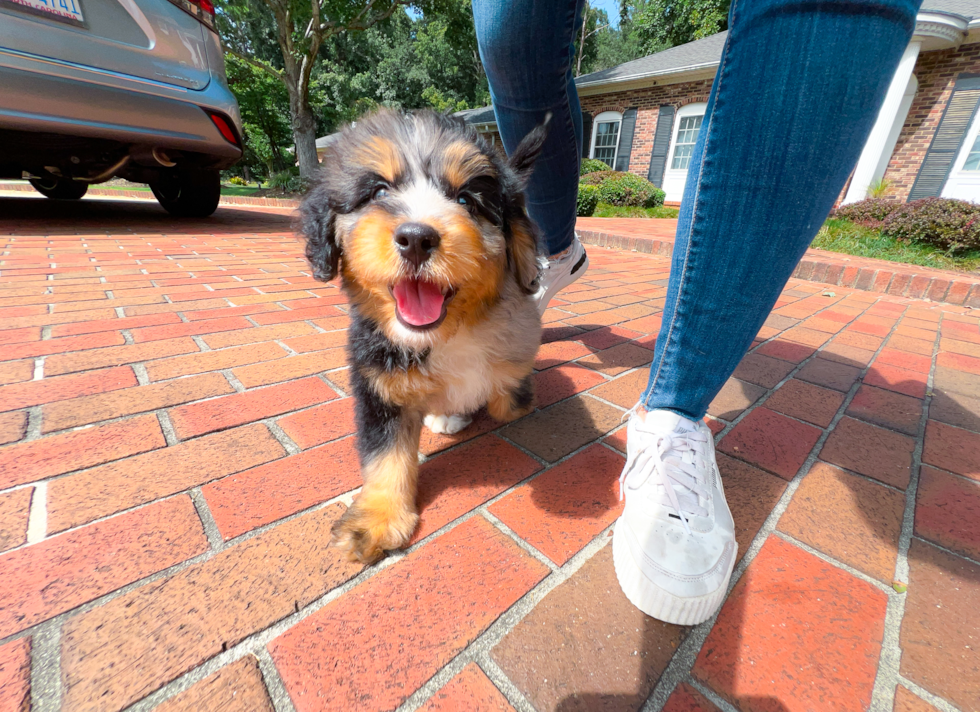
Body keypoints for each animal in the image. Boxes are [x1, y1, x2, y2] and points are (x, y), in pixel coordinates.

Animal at [298, 110, 544, 560]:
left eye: (466, 200)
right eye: (378, 191)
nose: (416, 238)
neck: (449, 334)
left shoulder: (516, 358)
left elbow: (510, 402)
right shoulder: (378, 381)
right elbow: (384, 453)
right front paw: (377, 519)